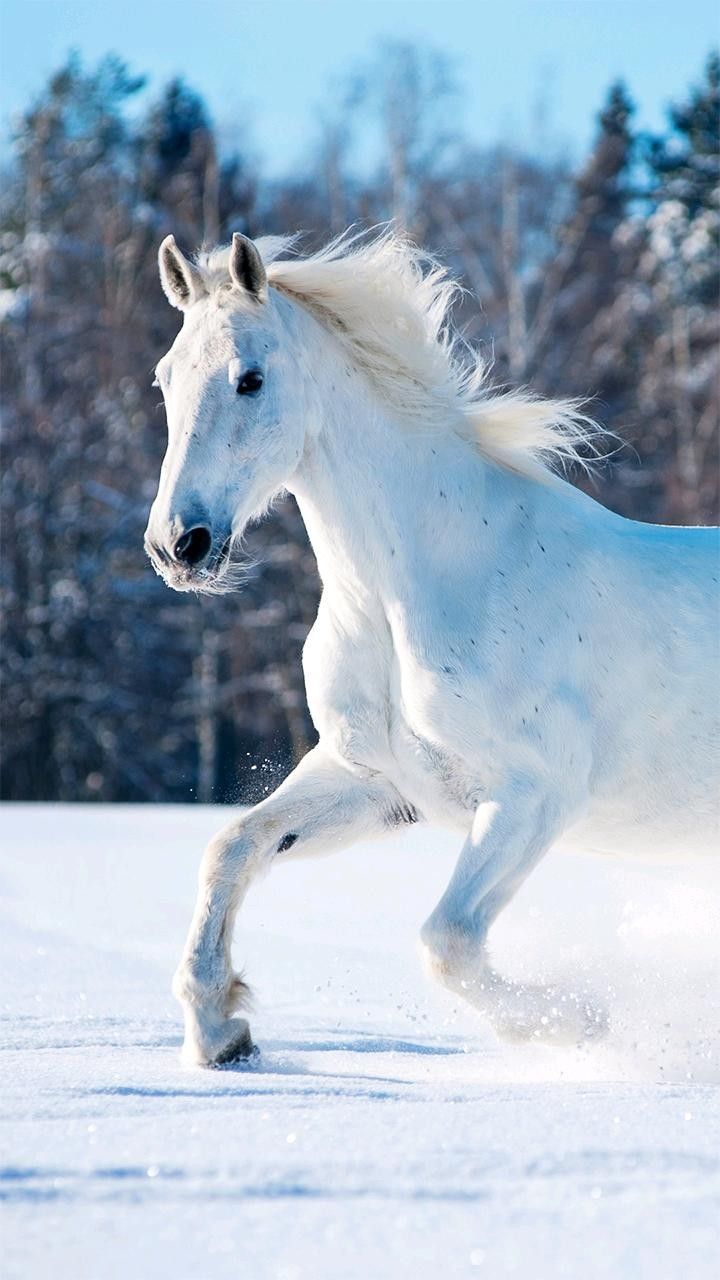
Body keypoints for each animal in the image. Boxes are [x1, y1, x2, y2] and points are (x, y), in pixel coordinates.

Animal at [144, 228, 719, 1067]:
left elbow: (447, 942)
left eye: (250, 379)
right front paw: (221, 1031)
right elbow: (232, 848)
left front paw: (582, 1022)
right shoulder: (374, 781)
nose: (177, 546)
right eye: (165, 378)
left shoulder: (532, 798)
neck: (417, 591)